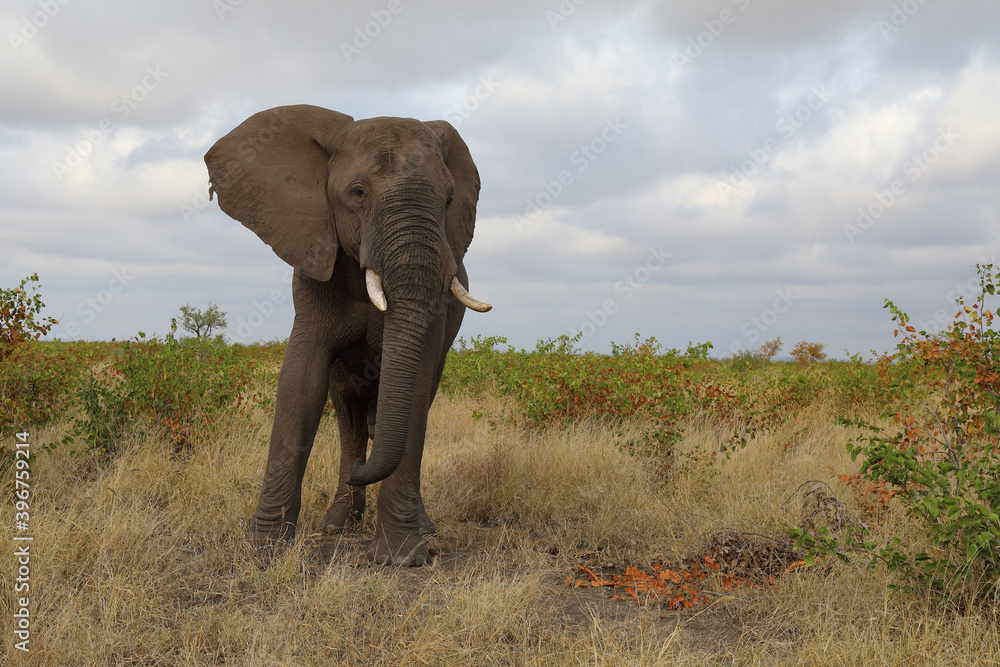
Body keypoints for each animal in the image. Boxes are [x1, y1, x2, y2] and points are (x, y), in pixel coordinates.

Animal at [204, 105, 490, 566]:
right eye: (357, 193)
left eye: (448, 200)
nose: (362, 472)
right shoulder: (314, 265)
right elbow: (301, 381)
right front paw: (264, 550)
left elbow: (415, 388)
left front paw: (400, 557)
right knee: (350, 417)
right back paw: (338, 522)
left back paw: (418, 524)